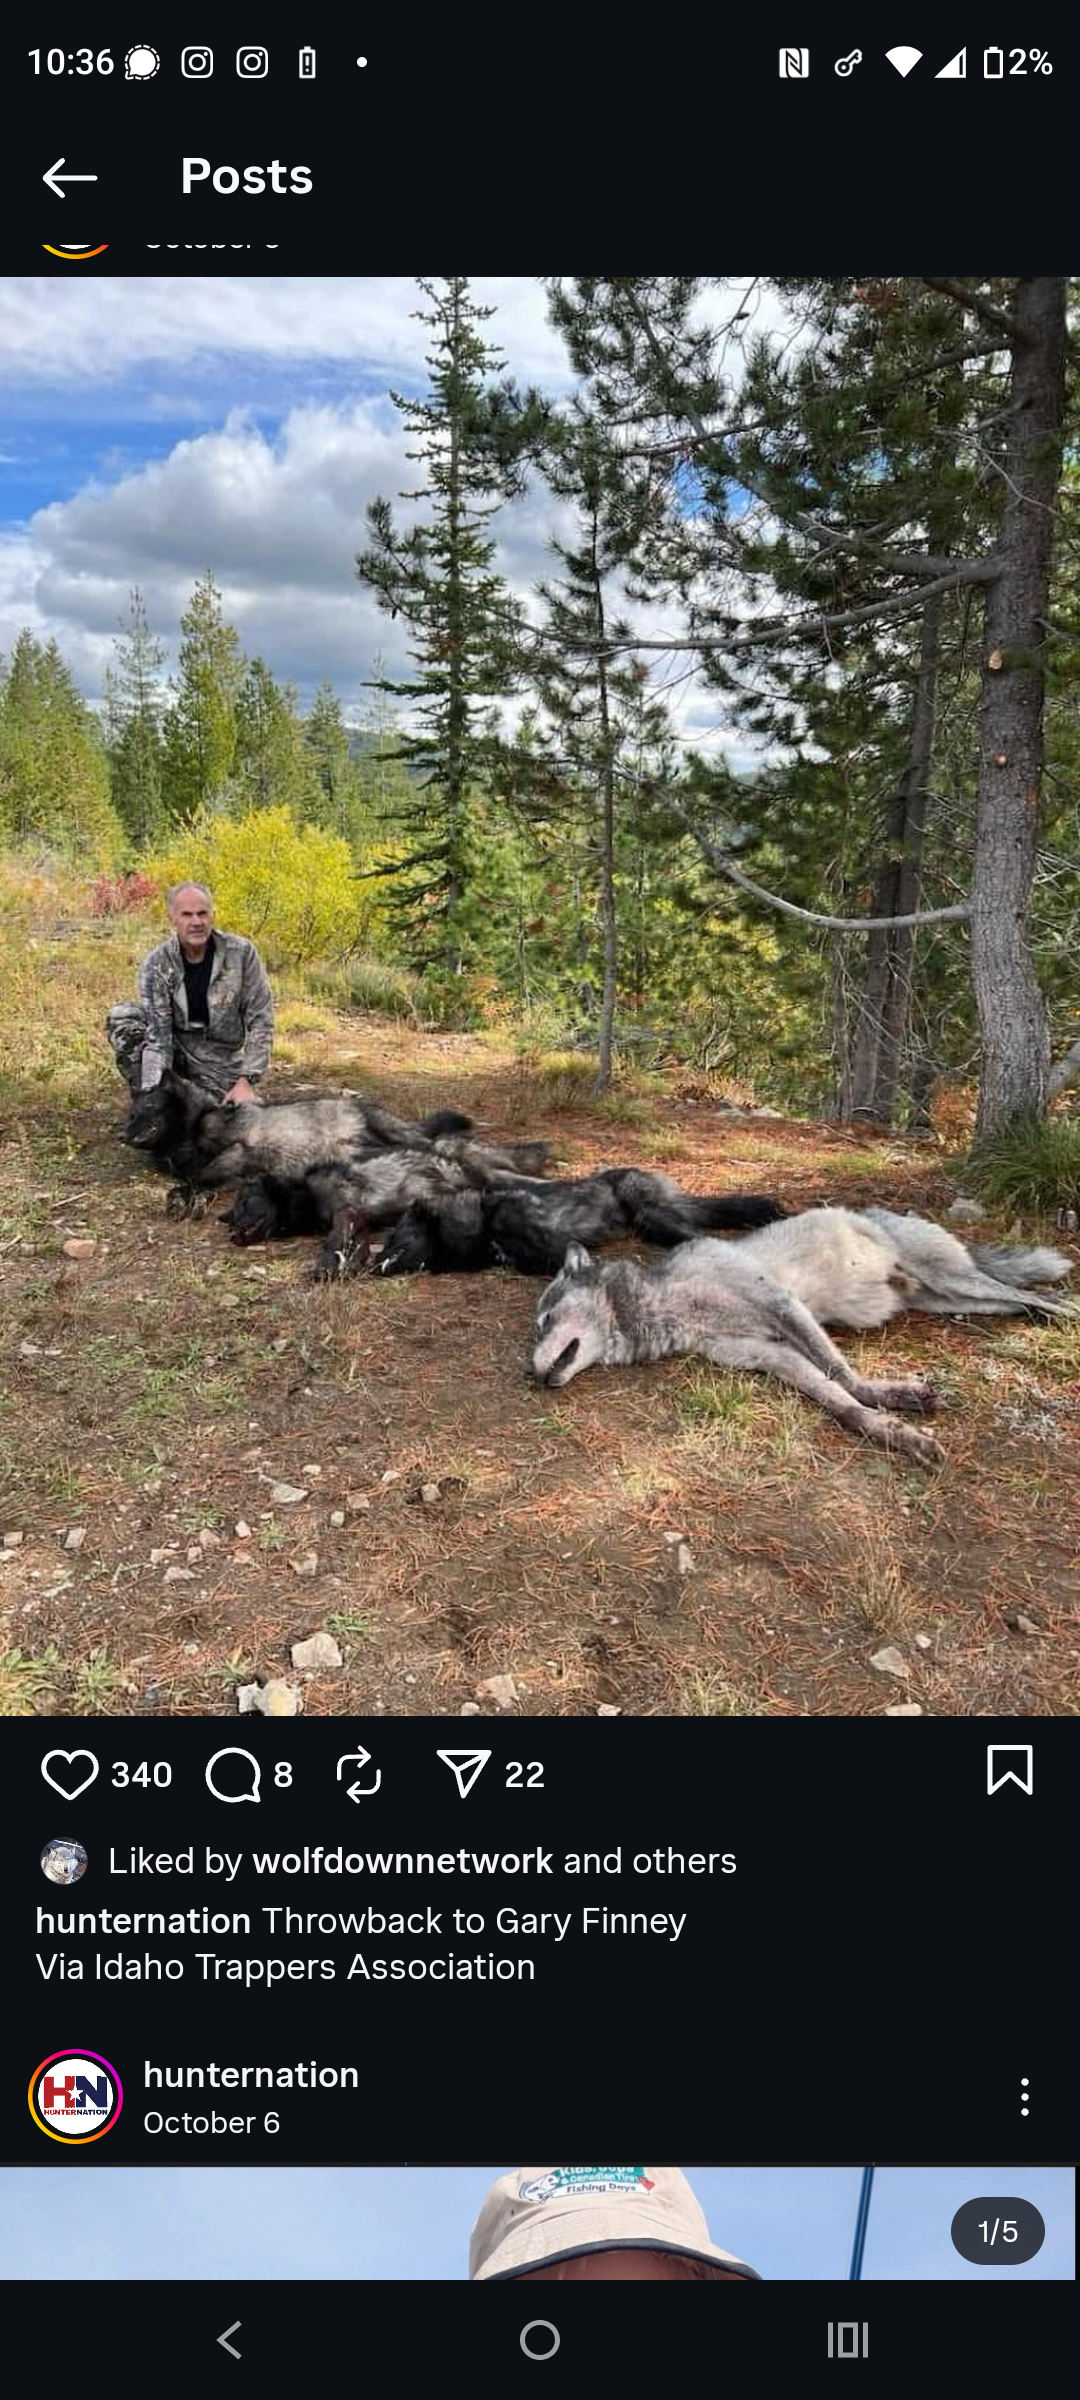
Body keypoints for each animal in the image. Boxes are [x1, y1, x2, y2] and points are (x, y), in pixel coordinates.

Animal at [530, 1207, 1075, 1464]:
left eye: (545, 1320)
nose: (529, 1373)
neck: (668, 1301)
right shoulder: (772, 1356)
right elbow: (844, 1404)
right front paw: (897, 1429)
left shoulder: (782, 1304)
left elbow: (845, 1376)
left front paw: (893, 1401)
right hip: (952, 1299)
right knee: (1014, 1301)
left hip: (953, 1280)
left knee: (1027, 1293)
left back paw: (1066, 1312)